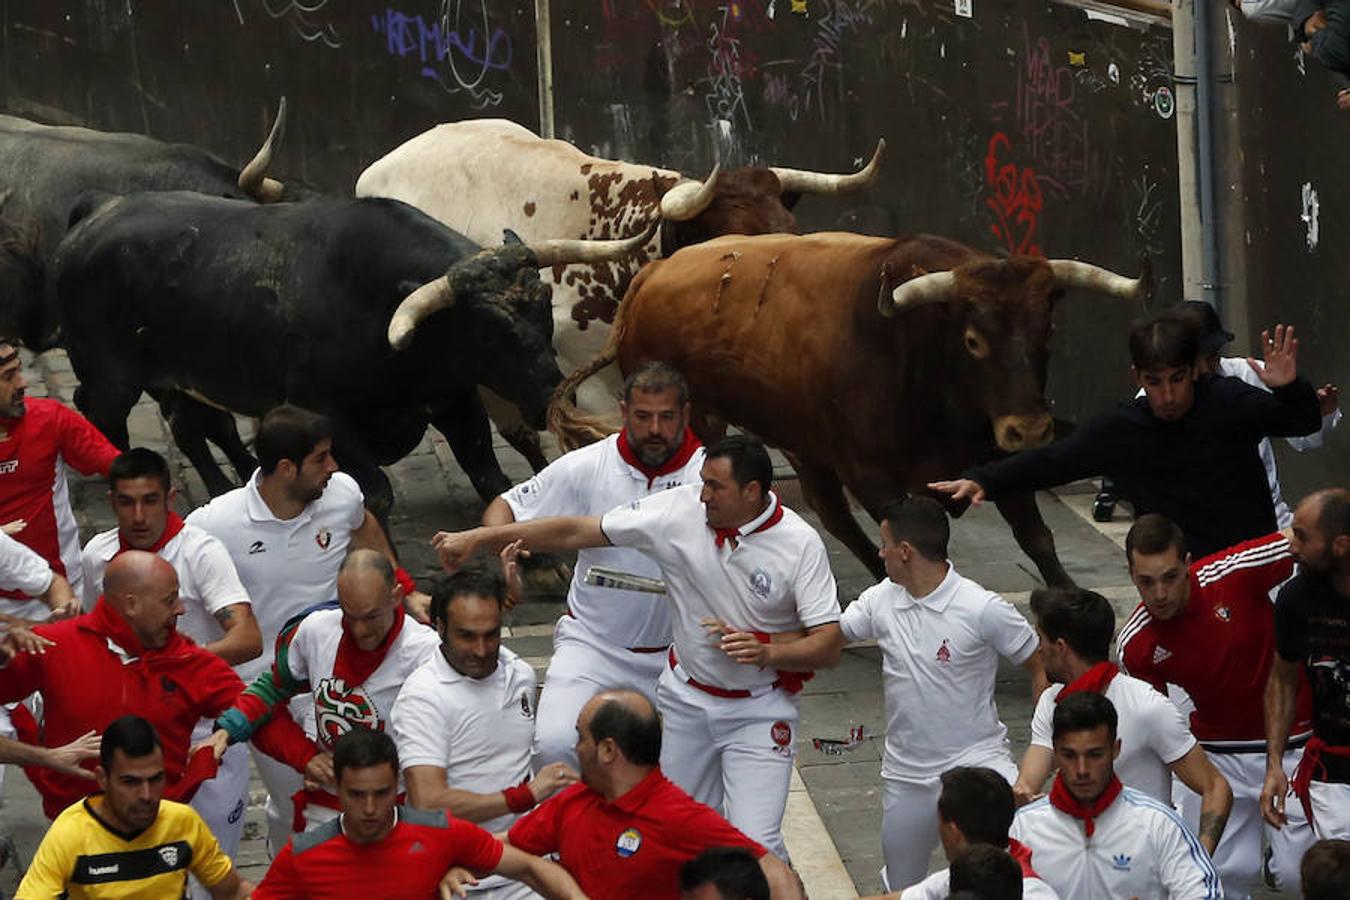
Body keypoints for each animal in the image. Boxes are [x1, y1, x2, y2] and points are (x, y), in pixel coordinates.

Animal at [51, 191, 564, 520]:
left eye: (545, 306)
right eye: (489, 332)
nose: (551, 397)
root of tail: (97, 213)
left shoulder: (454, 400)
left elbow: (491, 479)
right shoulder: (326, 416)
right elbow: (375, 494)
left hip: (188, 377)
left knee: (194, 427)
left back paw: (231, 485)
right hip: (111, 379)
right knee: (106, 423)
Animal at [548, 229, 1150, 588]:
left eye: (1047, 332)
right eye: (974, 340)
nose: (1029, 428)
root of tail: (649, 277)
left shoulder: (992, 456)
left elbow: (1037, 536)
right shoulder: (870, 471)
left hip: (803, 436)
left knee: (828, 509)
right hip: (708, 420)